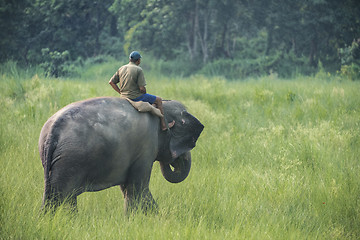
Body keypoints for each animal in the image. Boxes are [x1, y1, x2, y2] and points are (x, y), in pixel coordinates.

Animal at [39, 96, 204, 213]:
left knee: (57, 195)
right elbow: (138, 188)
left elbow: (128, 188)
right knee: (63, 195)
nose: (173, 159)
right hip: (71, 160)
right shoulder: (146, 147)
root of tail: (53, 130)